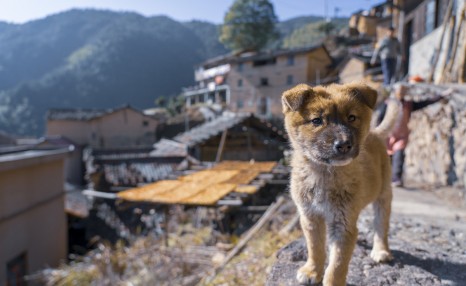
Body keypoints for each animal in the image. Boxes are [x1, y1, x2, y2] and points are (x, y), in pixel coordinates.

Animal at [282, 83, 398, 286]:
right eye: (316, 120)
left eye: (351, 117)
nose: (343, 145)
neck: (324, 173)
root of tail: (374, 133)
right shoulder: (310, 217)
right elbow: (315, 248)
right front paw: (312, 271)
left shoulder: (343, 224)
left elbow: (337, 263)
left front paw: (331, 279)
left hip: (383, 195)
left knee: (381, 225)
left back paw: (381, 250)